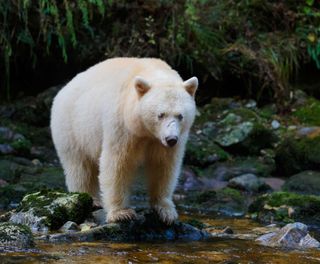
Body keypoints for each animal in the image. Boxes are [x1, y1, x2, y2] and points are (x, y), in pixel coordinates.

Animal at [50, 57, 198, 223]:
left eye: (180, 116)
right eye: (161, 115)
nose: (171, 139)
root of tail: (64, 89)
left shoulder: (163, 141)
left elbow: (163, 165)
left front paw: (165, 211)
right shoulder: (122, 124)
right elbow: (118, 163)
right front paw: (121, 213)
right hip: (72, 127)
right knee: (80, 167)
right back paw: (90, 199)